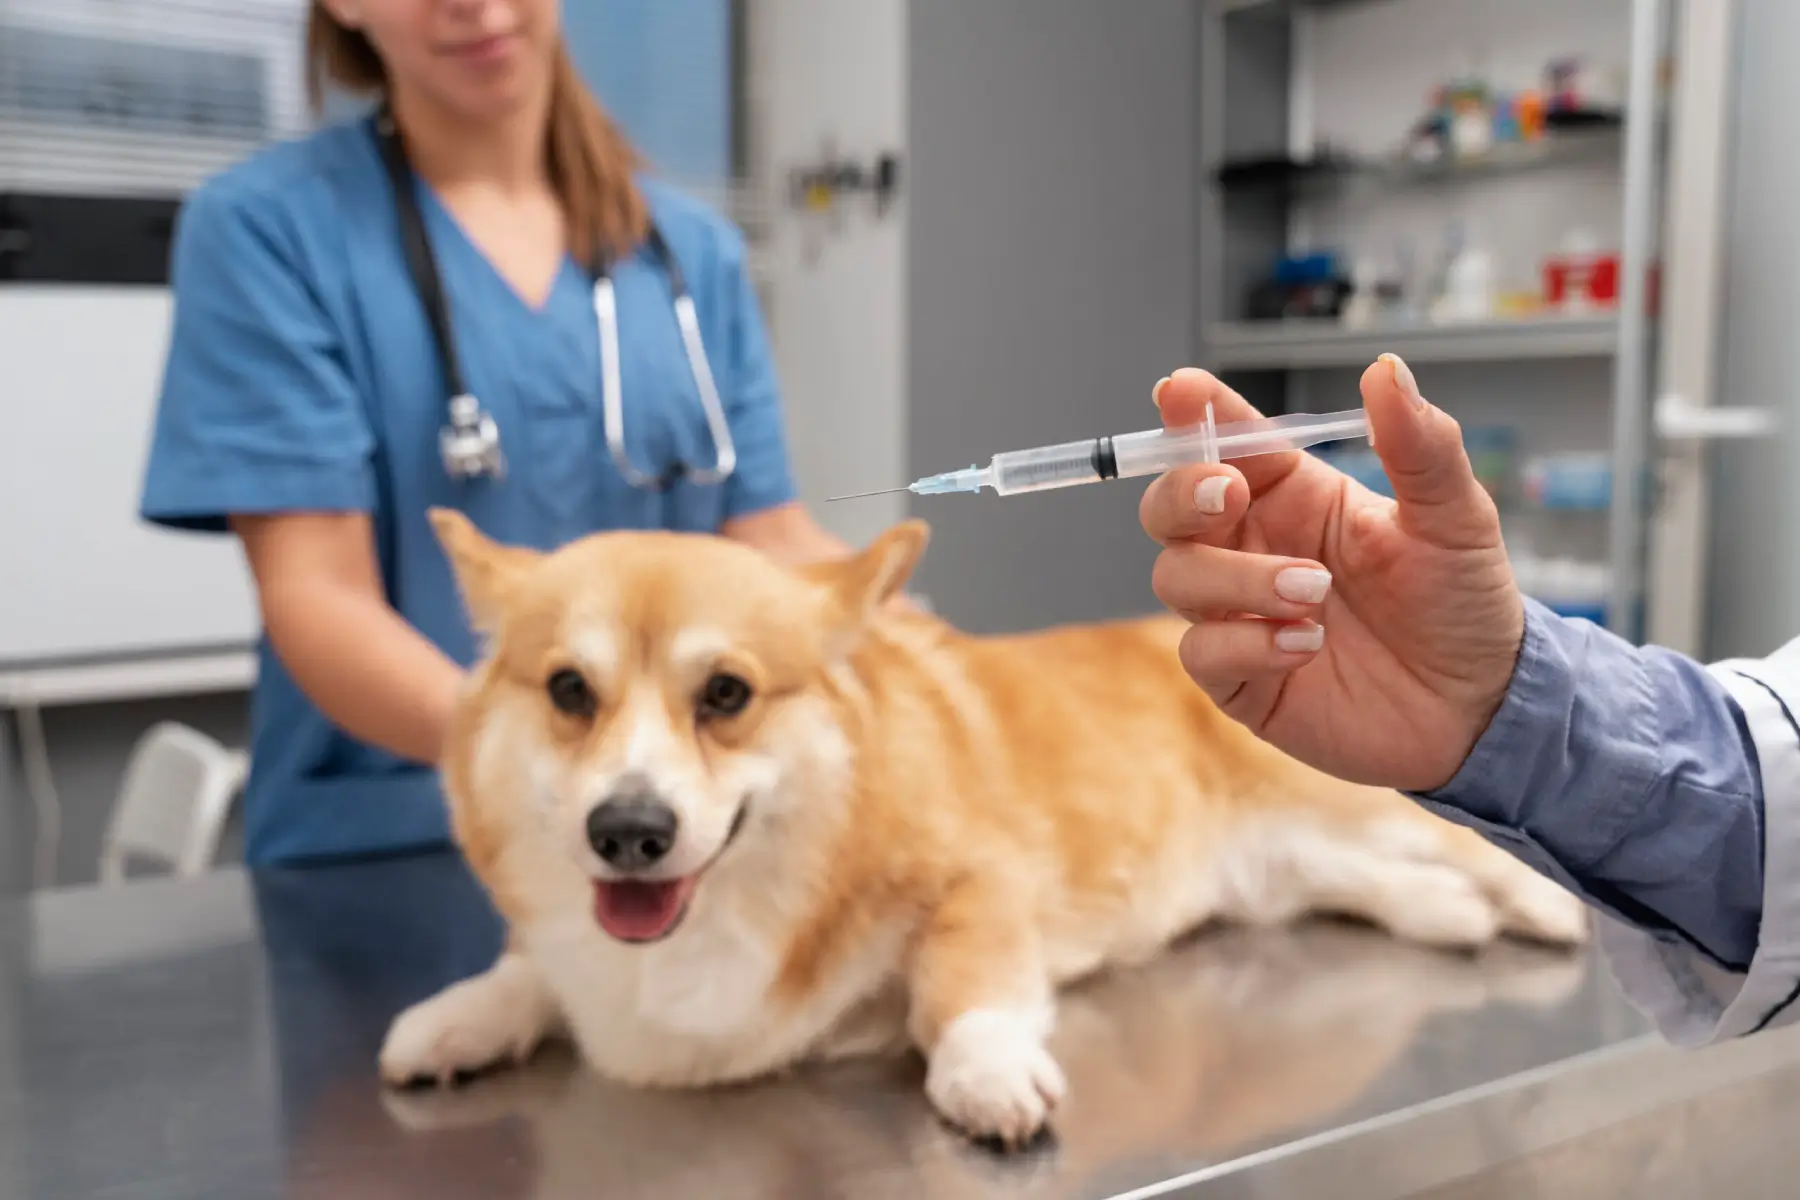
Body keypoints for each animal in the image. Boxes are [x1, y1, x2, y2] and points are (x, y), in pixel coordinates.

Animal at [383, 510, 1591, 1151]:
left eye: (726, 694)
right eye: (568, 691)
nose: (627, 831)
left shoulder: (983, 881)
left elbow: (958, 984)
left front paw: (988, 1075)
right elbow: (528, 972)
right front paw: (454, 1021)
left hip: (1345, 796)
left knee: (1466, 843)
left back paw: (1541, 906)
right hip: (1281, 867)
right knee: (1384, 883)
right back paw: (1450, 916)